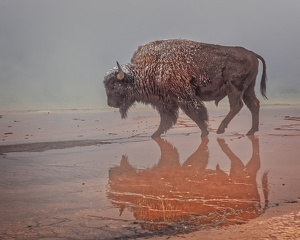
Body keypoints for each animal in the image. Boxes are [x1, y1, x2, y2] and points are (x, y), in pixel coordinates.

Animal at [103, 39, 268, 137]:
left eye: (115, 85)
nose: (110, 103)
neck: (149, 69)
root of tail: (252, 54)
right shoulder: (166, 103)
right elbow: (166, 119)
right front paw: (155, 134)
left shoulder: (184, 97)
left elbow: (195, 113)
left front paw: (204, 132)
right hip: (248, 89)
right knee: (253, 104)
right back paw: (251, 131)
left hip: (235, 89)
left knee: (237, 106)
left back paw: (221, 130)